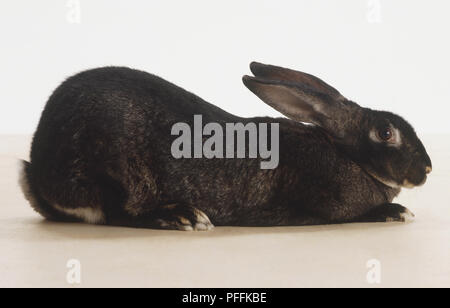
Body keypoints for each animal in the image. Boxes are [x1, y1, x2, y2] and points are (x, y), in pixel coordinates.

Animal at [20, 63, 432, 231]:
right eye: (385, 133)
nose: (427, 170)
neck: (348, 156)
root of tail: (38, 172)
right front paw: (396, 211)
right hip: (113, 169)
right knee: (119, 211)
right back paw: (184, 217)